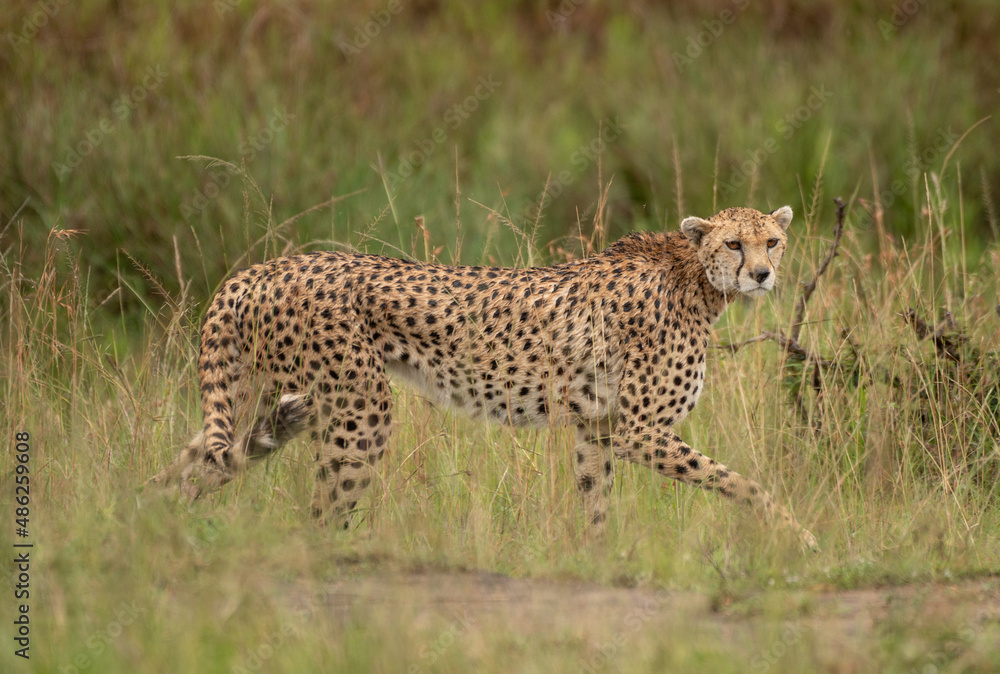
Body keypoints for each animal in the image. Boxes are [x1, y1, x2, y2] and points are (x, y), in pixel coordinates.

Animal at [153, 205, 817, 549]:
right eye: (734, 244)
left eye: (772, 241)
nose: (761, 274)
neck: (694, 276)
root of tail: (264, 268)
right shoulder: (638, 430)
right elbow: (742, 483)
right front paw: (798, 538)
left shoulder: (598, 430)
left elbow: (596, 502)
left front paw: (597, 561)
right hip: (359, 410)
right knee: (318, 515)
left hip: (266, 396)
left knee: (192, 466)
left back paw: (146, 524)